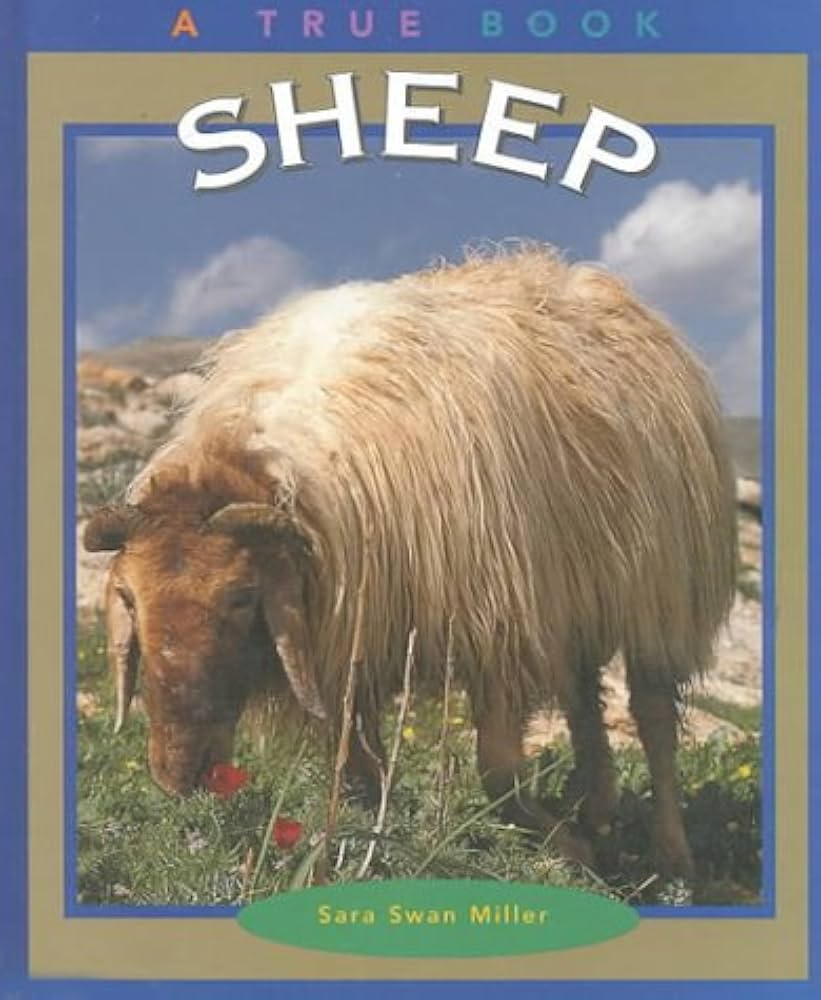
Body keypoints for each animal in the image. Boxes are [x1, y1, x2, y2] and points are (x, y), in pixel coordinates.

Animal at [83, 245, 737, 878]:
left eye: (243, 597)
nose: (179, 774)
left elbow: (498, 769)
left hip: (661, 589)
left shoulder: (499, 627)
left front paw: (567, 850)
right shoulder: (349, 646)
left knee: (652, 717)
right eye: (130, 600)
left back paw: (672, 857)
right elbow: (358, 772)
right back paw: (597, 806)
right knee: (584, 699)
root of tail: (583, 278)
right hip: (579, 589)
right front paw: (368, 850)